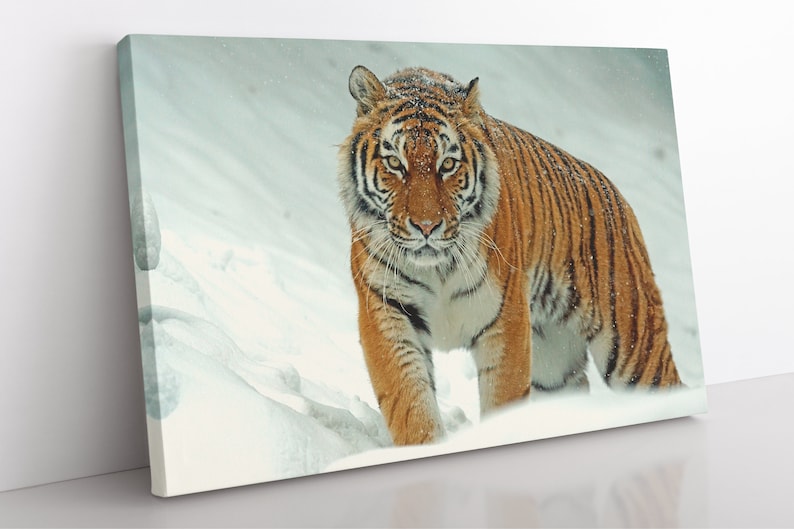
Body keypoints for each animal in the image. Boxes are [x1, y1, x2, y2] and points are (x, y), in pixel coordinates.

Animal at [337, 65, 681, 446]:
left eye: (448, 164)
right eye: (395, 163)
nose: (427, 226)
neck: (436, 268)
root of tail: (615, 194)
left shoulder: (506, 319)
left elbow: (503, 399)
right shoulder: (387, 312)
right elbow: (410, 404)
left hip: (634, 347)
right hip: (554, 364)